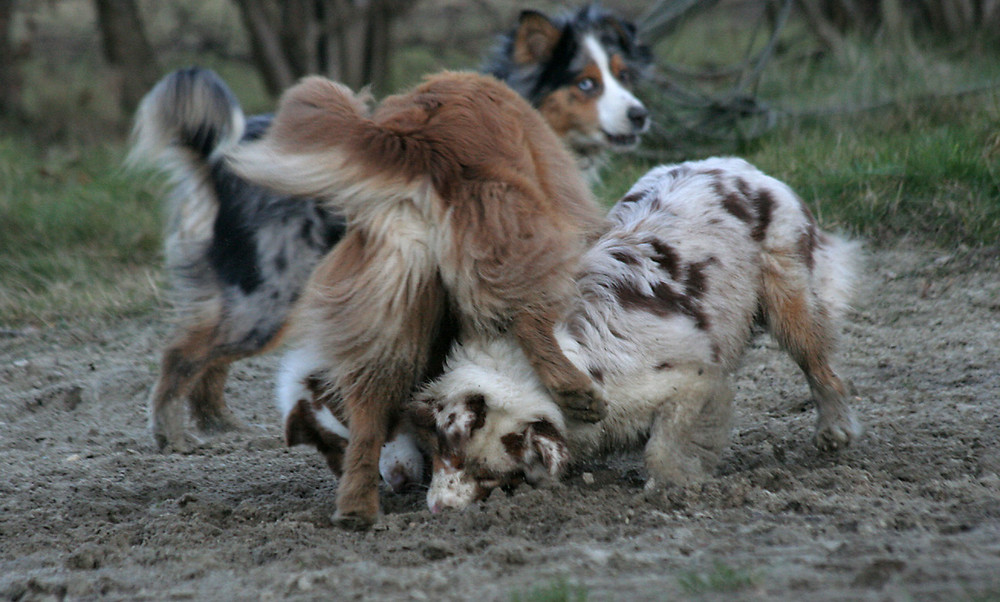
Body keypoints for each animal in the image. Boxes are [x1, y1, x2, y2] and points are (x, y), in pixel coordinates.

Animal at [229, 72, 608, 528]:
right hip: (515, 240)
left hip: (390, 309)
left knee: (369, 412)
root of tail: (418, 141)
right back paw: (576, 391)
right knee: (529, 318)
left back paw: (356, 507)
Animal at [414, 157, 860, 508]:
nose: (438, 510)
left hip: (791, 298)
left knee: (823, 370)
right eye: (443, 450)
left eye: (489, 473)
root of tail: (737, 165)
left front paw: (676, 486)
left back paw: (834, 432)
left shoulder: (692, 381)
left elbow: (663, 449)